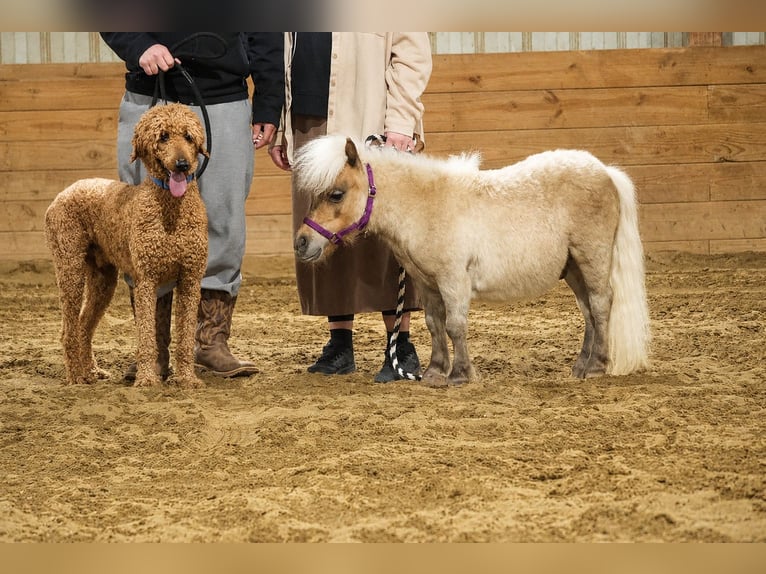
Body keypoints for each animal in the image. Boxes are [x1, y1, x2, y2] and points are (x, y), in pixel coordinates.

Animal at [292, 134, 651, 386]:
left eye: (336, 194)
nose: (301, 242)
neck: (424, 207)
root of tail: (605, 172)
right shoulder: (427, 284)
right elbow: (434, 325)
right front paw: (435, 372)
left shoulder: (453, 280)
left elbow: (455, 325)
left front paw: (461, 374)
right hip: (573, 268)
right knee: (588, 311)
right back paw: (580, 366)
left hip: (592, 259)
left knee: (601, 305)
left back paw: (597, 366)